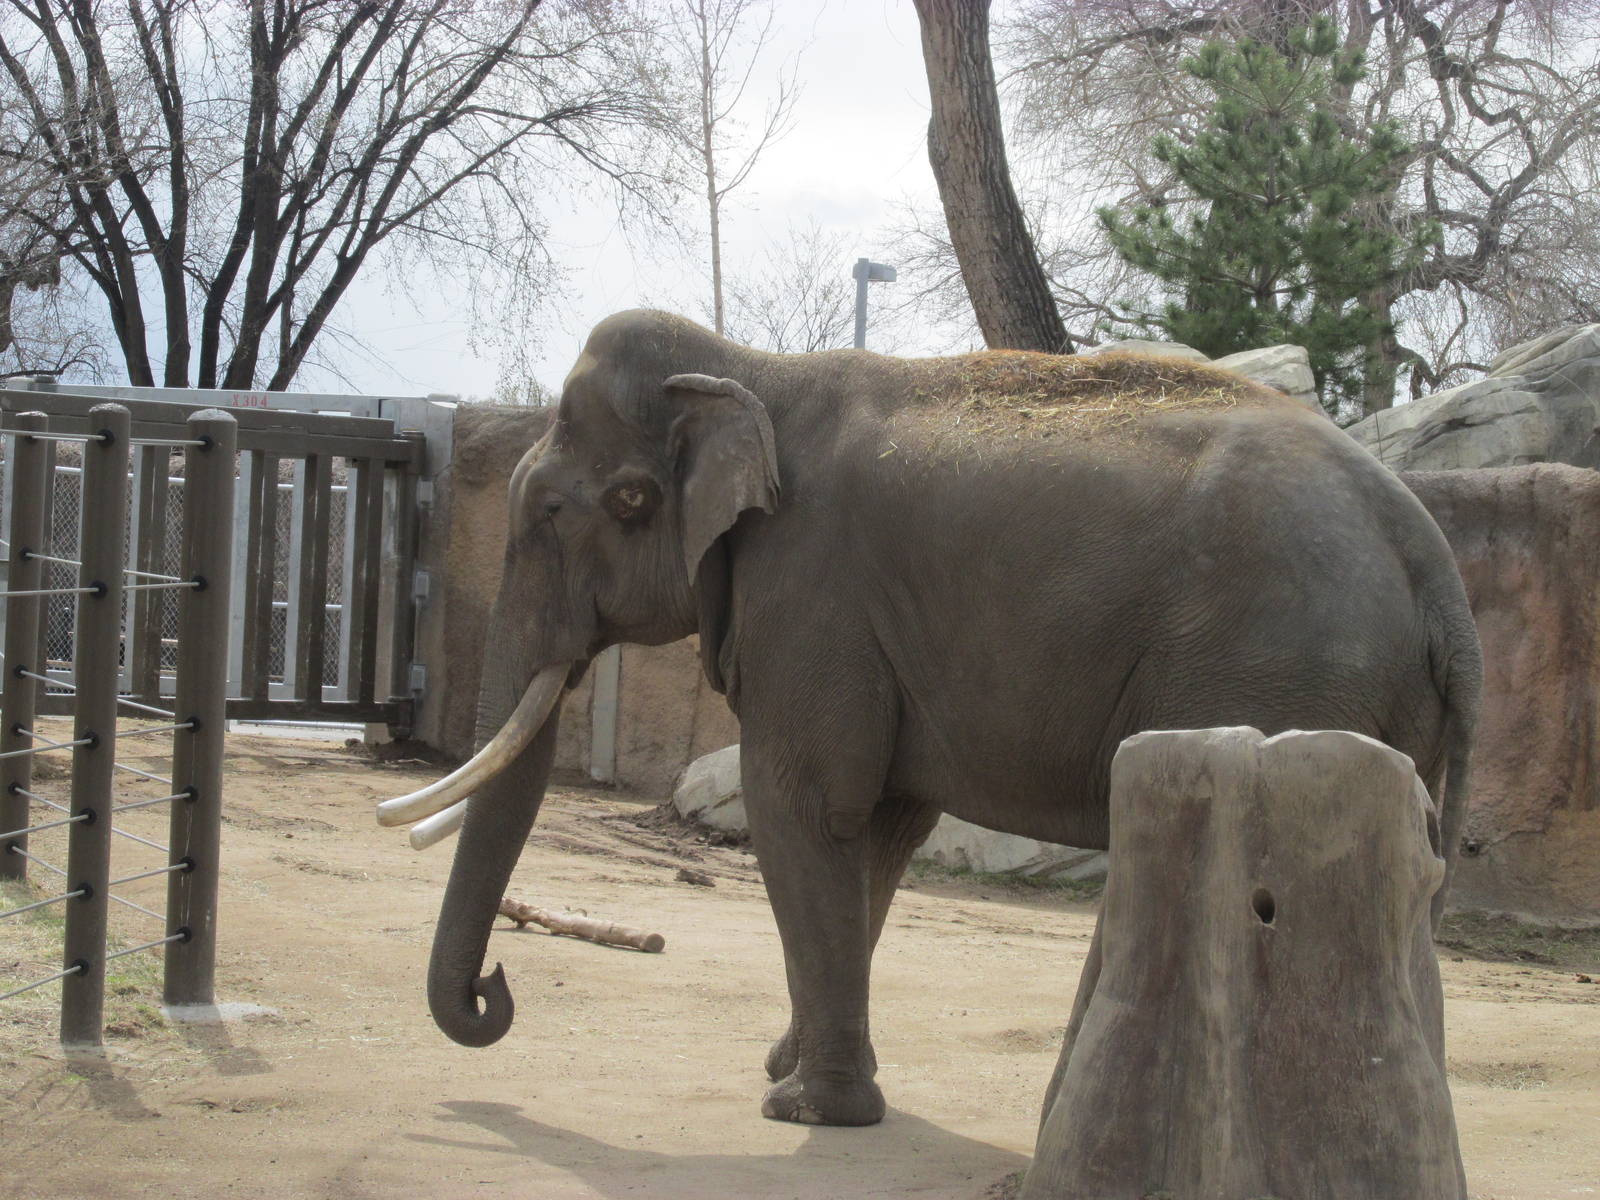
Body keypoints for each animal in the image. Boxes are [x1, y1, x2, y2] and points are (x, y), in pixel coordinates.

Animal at [380, 309, 1481, 1129]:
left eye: (566, 511)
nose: (497, 988)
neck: (751, 371)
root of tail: (1433, 560)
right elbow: (878, 830)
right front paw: (786, 1070)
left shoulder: (813, 594)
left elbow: (803, 808)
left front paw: (804, 1111)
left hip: (1276, 670)